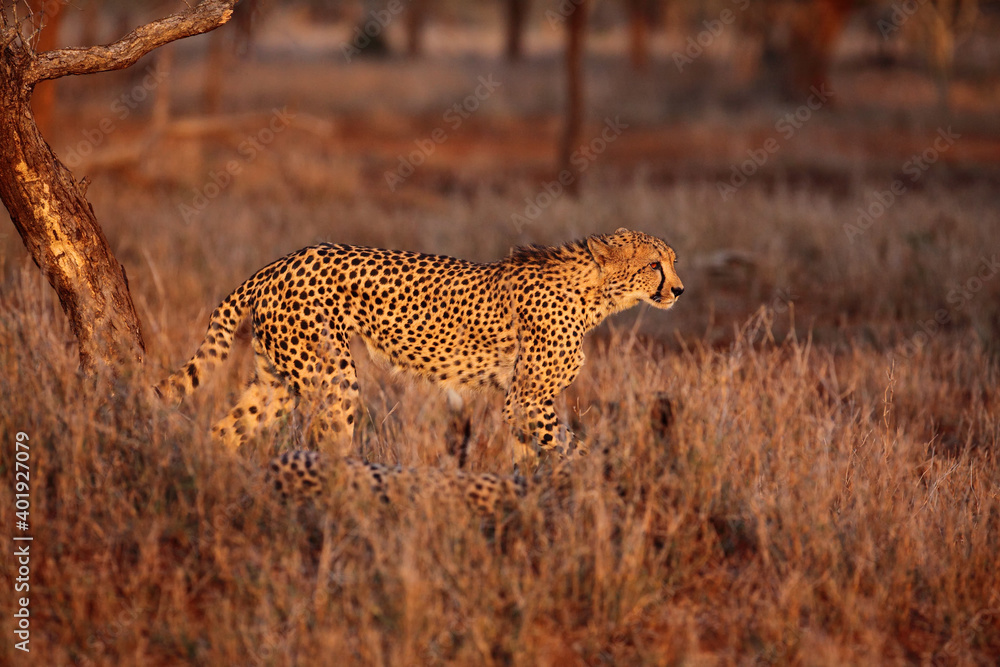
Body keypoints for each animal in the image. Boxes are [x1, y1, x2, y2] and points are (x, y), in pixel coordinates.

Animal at [157, 227, 683, 462]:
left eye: (672, 261)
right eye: (654, 265)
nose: (679, 290)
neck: (595, 294)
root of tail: (278, 263)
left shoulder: (519, 403)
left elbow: (531, 458)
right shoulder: (527, 399)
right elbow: (573, 449)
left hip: (277, 381)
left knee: (224, 431)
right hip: (332, 377)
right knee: (331, 442)